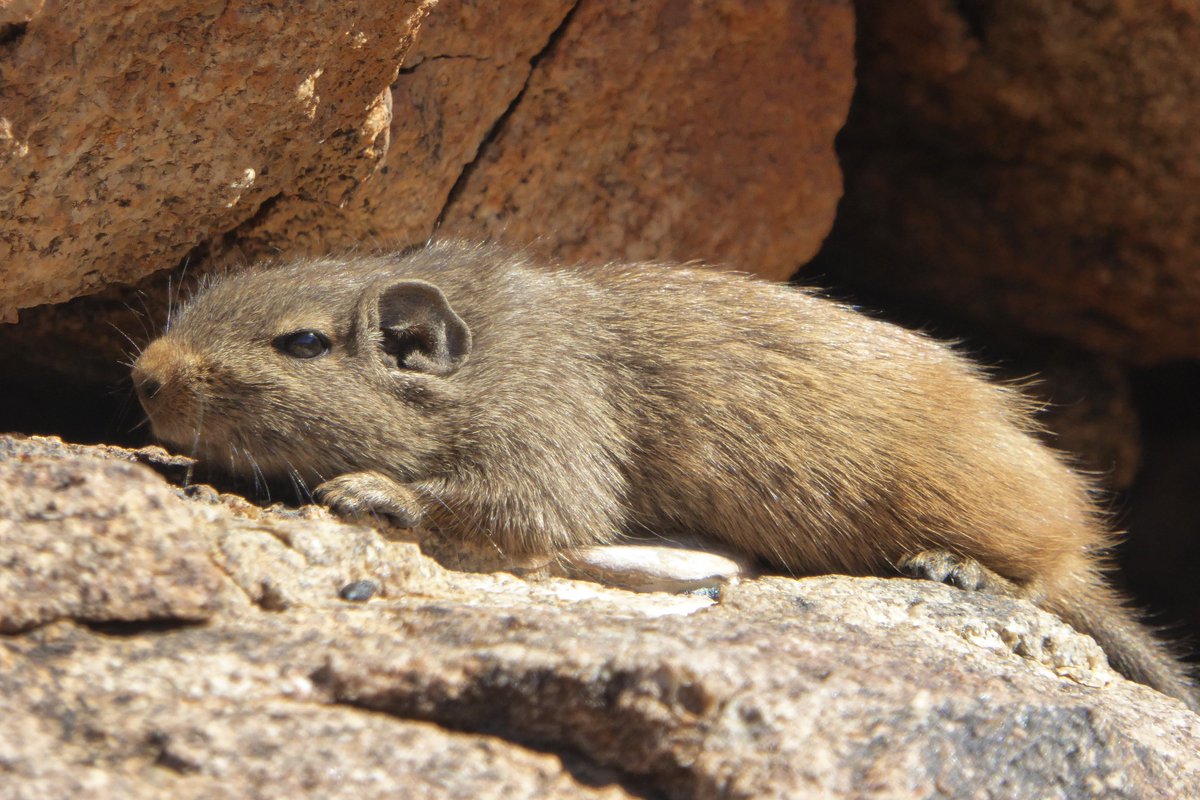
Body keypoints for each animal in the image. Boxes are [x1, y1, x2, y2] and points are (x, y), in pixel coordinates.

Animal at [131, 241, 1198, 709]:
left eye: (303, 344)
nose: (145, 377)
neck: (497, 351)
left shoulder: (552, 447)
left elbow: (509, 512)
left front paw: (366, 492)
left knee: (1048, 571)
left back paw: (958, 568)